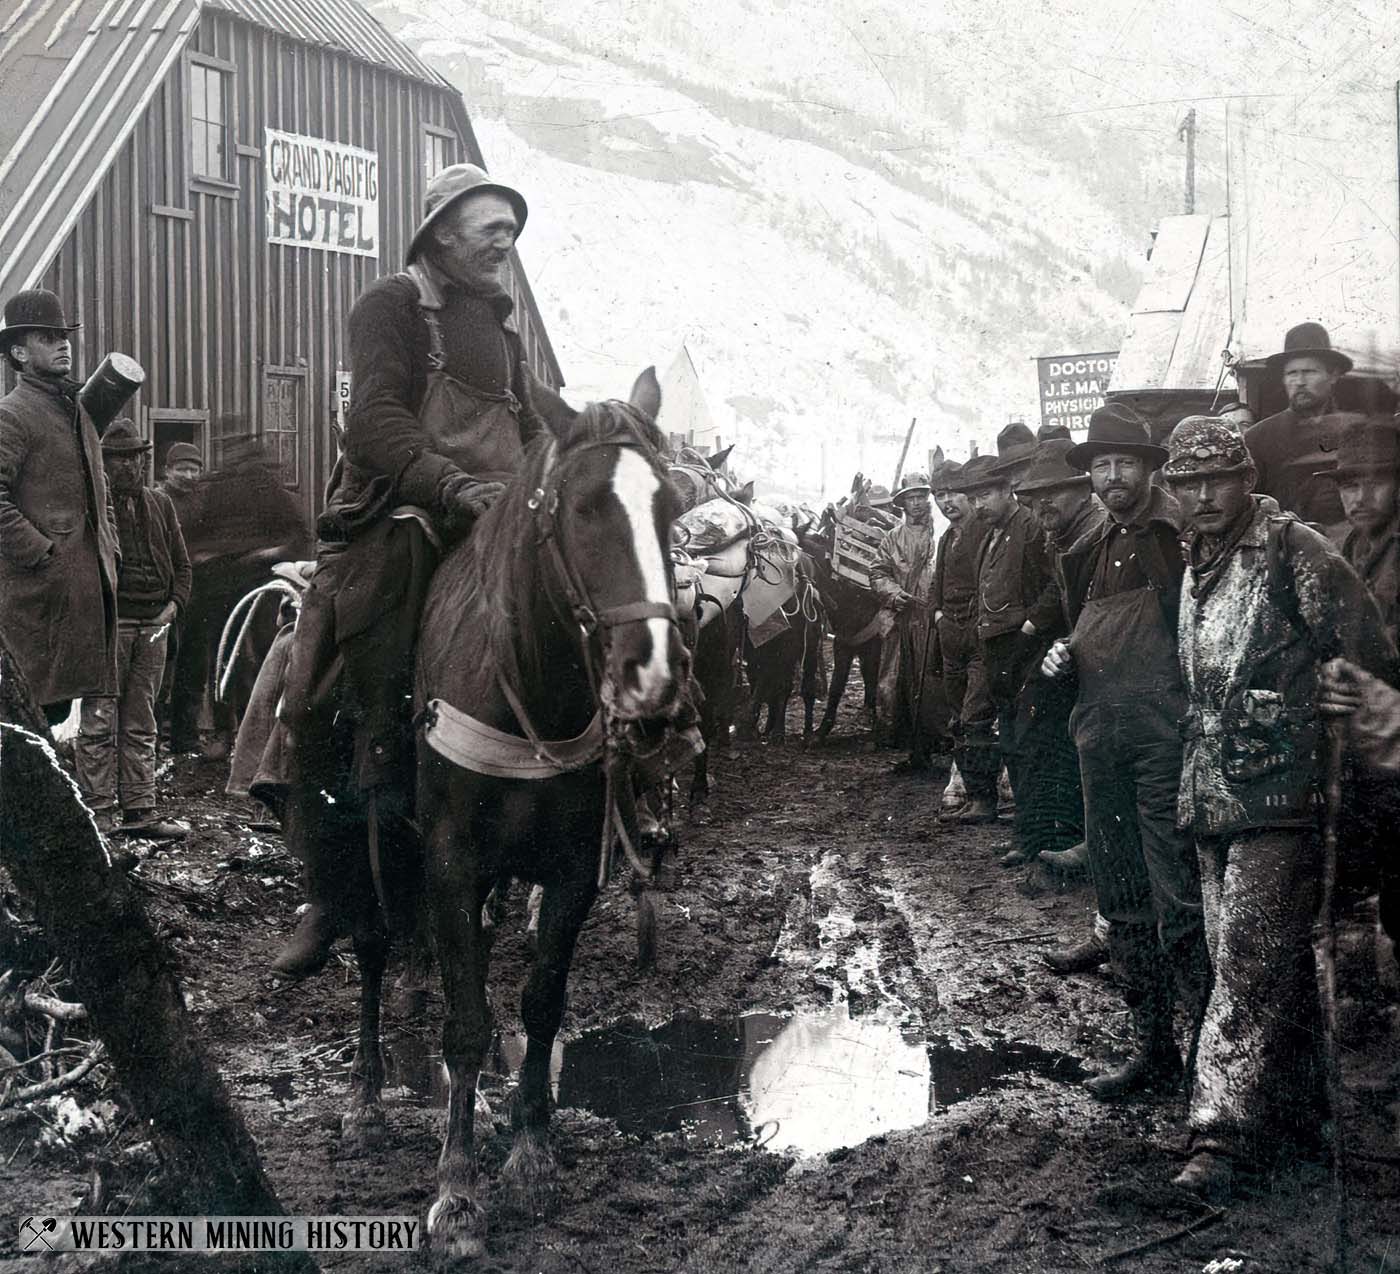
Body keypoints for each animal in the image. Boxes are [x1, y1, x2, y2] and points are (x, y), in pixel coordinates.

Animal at [408, 369, 686, 1254]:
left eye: (671, 507)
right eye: (584, 507)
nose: (653, 676)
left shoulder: (570, 875)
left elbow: (541, 1001)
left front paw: (530, 1152)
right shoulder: (449, 864)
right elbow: (466, 1019)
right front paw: (458, 1190)